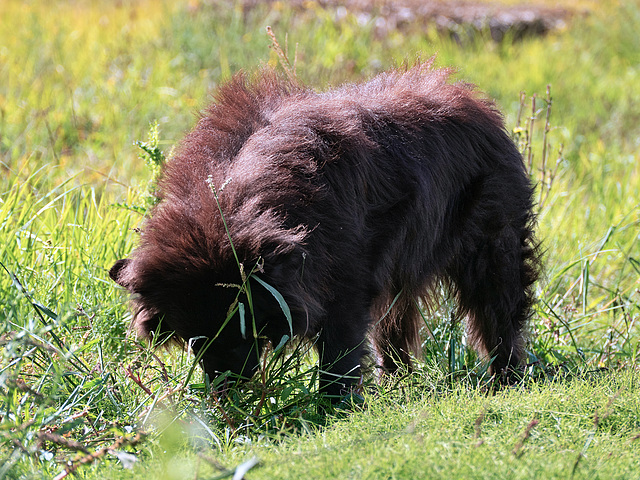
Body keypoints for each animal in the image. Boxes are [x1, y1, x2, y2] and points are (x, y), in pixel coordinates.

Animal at [110, 61, 540, 398]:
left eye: (243, 322)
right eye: (195, 338)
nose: (226, 389)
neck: (230, 201)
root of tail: (481, 105)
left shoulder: (344, 256)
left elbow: (341, 331)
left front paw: (335, 405)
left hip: (490, 219)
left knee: (497, 298)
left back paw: (506, 378)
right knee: (396, 316)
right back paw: (396, 381)